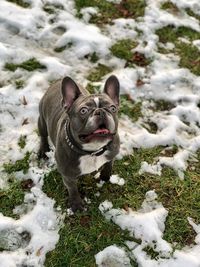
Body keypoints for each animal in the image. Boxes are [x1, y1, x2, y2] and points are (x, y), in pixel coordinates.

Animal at [38, 76, 120, 214]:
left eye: (113, 108)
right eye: (83, 110)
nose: (100, 112)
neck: (92, 151)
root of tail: (57, 81)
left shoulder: (112, 152)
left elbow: (109, 165)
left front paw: (104, 178)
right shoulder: (68, 176)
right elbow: (73, 190)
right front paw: (76, 205)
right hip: (42, 121)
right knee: (43, 136)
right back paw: (43, 151)